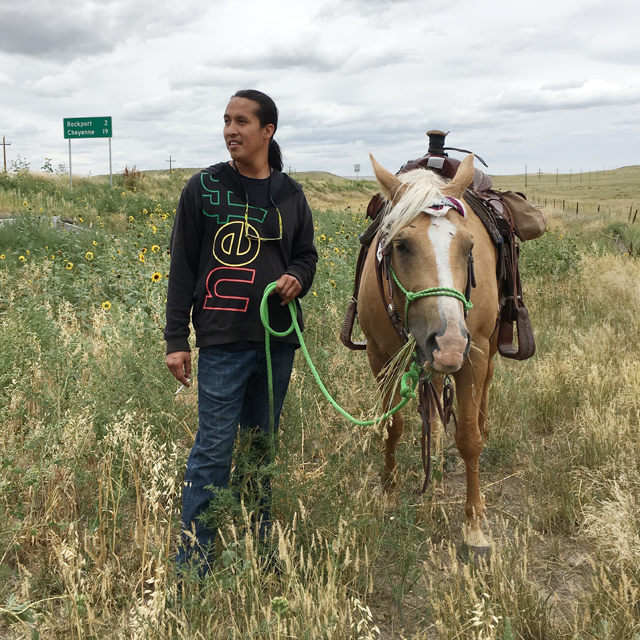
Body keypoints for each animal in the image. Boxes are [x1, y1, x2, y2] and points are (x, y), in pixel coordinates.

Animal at [358, 152, 498, 548]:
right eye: (401, 245)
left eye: (469, 247)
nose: (449, 343)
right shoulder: (381, 357)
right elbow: (393, 425)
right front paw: (389, 490)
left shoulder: (474, 354)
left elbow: (468, 438)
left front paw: (474, 523)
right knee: (433, 407)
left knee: (483, 395)